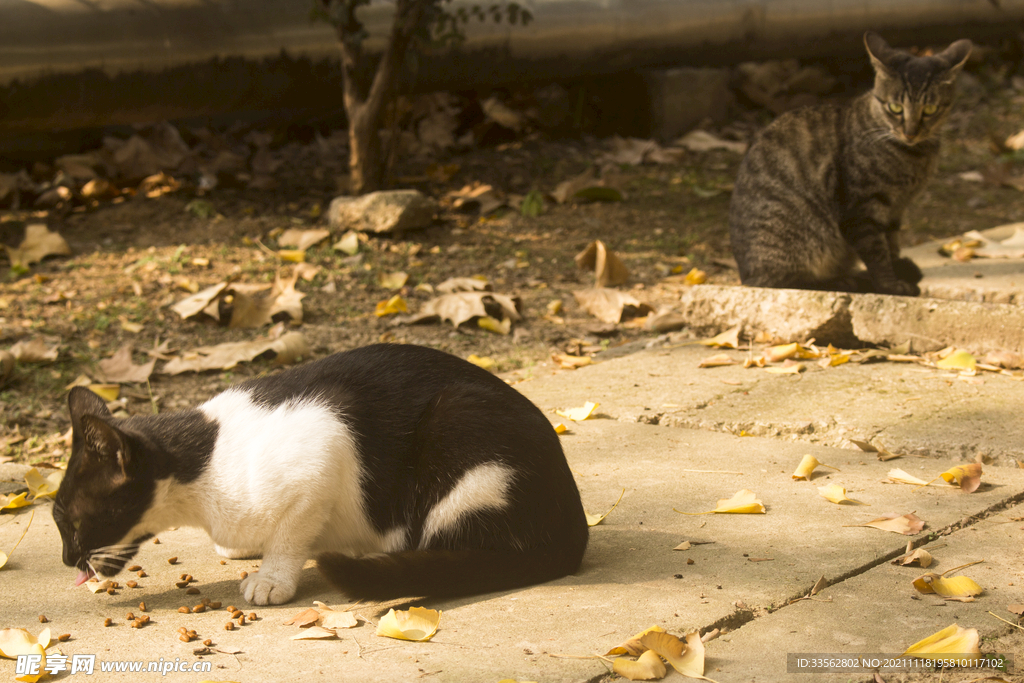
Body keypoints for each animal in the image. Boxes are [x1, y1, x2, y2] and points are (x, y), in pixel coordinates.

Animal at [51, 344, 589, 606]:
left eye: (71, 523)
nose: (65, 559)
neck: (204, 457)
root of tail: (574, 527)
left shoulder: (323, 442)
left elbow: (291, 532)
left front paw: (272, 578)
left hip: (457, 423)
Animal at [729, 31, 966, 294]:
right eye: (895, 107)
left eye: (930, 109)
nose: (910, 132)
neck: (914, 155)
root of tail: (746, 276)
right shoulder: (861, 209)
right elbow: (877, 254)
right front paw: (890, 285)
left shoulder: (895, 210)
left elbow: (892, 247)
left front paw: (896, 273)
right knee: (789, 283)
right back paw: (841, 281)